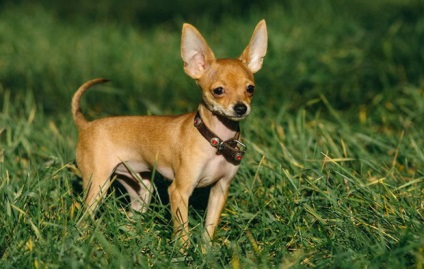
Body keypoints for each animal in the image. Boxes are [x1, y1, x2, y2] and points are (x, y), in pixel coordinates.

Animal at [71, 19, 266, 245]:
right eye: (218, 91)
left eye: (250, 88)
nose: (241, 108)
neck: (215, 139)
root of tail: (86, 125)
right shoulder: (179, 192)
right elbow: (183, 233)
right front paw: (184, 252)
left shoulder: (220, 189)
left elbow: (209, 230)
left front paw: (206, 251)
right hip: (97, 186)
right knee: (83, 220)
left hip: (141, 191)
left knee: (129, 219)